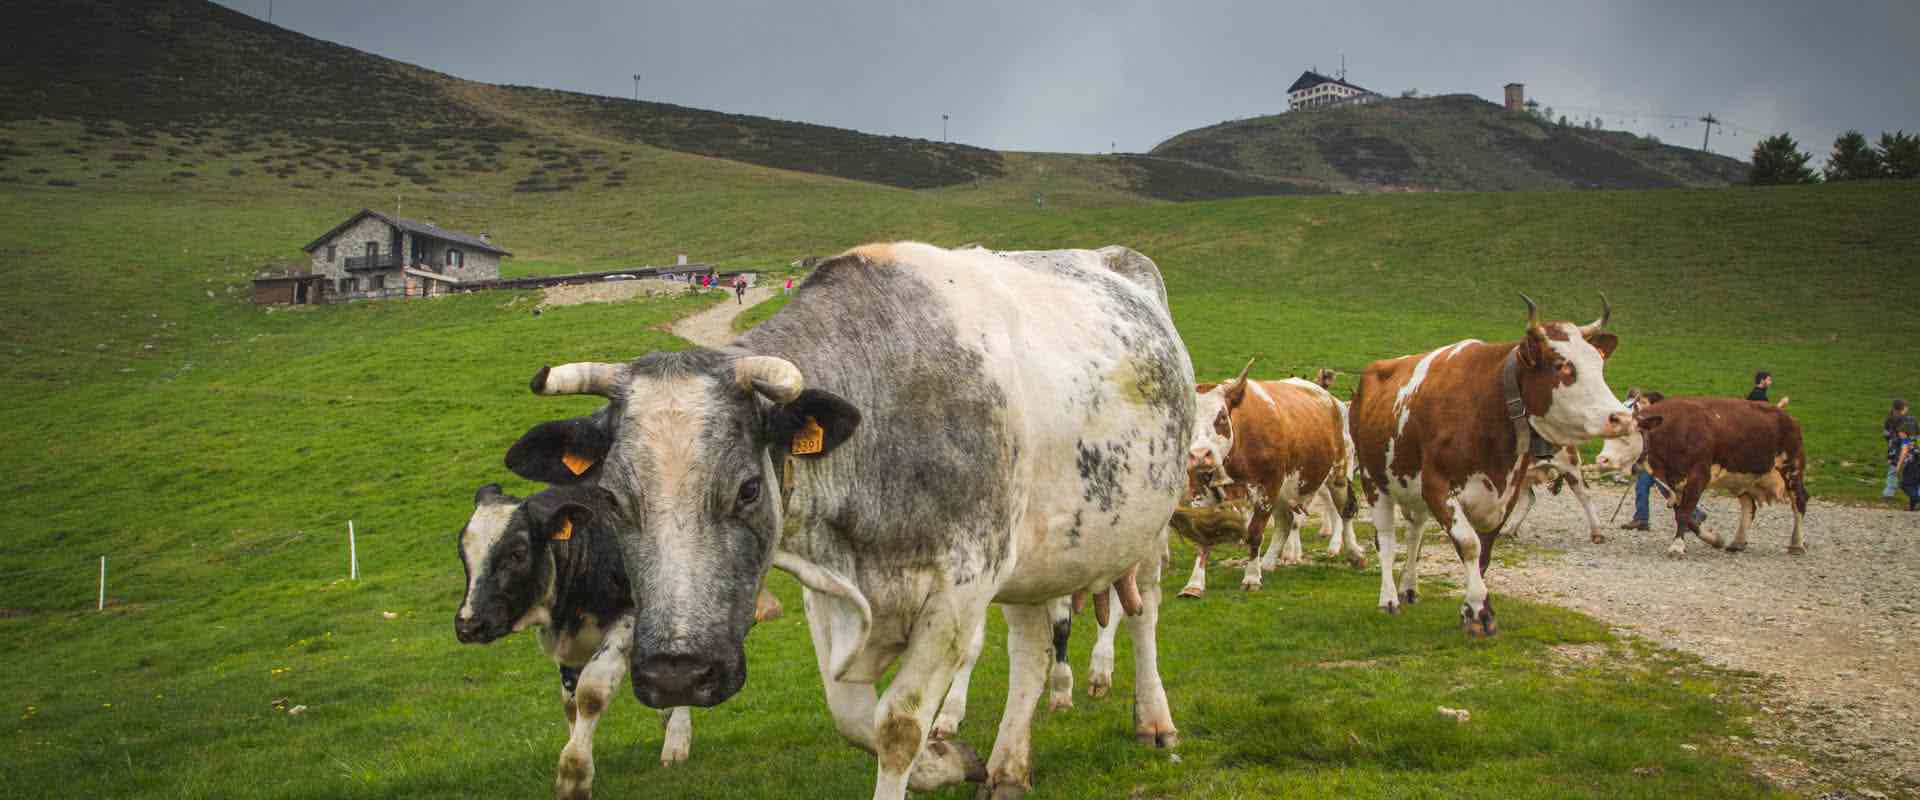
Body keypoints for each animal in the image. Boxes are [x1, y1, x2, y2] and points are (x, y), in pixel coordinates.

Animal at [456, 479, 698, 798]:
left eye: (517, 552)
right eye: (462, 554)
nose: (468, 623)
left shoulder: (628, 618)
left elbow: (591, 693)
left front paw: (575, 773)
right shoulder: (569, 648)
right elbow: (571, 705)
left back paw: (676, 742)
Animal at [499, 243, 1182, 798]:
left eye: (748, 489)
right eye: (613, 499)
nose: (677, 672)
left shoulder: (961, 586)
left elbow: (898, 724)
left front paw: (933, 750)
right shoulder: (828, 594)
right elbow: (855, 720)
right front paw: (952, 759)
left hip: (1148, 530)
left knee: (1143, 616)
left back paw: (1155, 721)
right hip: (1034, 561)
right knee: (1032, 652)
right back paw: (1008, 767)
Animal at [1175, 364, 1359, 594]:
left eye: (1222, 417)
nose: (1200, 455)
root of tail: (1330, 399)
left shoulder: (1267, 489)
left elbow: (1255, 532)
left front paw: (1252, 577)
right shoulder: (1200, 491)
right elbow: (1202, 537)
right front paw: (1194, 584)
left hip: (1338, 473)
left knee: (1345, 511)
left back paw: (1353, 553)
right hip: (1285, 490)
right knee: (1286, 521)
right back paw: (1269, 562)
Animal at [1344, 295, 1628, 633]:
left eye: (1599, 363)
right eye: (1562, 366)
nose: (1622, 417)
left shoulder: (1505, 494)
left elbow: (1484, 552)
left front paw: (1472, 608)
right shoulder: (1438, 487)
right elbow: (1468, 544)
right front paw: (1479, 611)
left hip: (1411, 487)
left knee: (1415, 533)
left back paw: (1409, 587)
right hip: (1374, 481)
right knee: (1386, 538)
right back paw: (1389, 599)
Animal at [1589, 395, 1812, 556]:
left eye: (1626, 437)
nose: (1603, 460)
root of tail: (1788, 417)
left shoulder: (1698, 476)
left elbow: (1685, 513)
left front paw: (1677, 546)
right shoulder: (1673, 483)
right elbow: (1684, 515)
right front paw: (1714, 539)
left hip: (1792, 468)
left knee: (1799, 502)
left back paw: (1797, 544)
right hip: (1743, 478)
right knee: (1749, 505)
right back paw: (1738, 542)